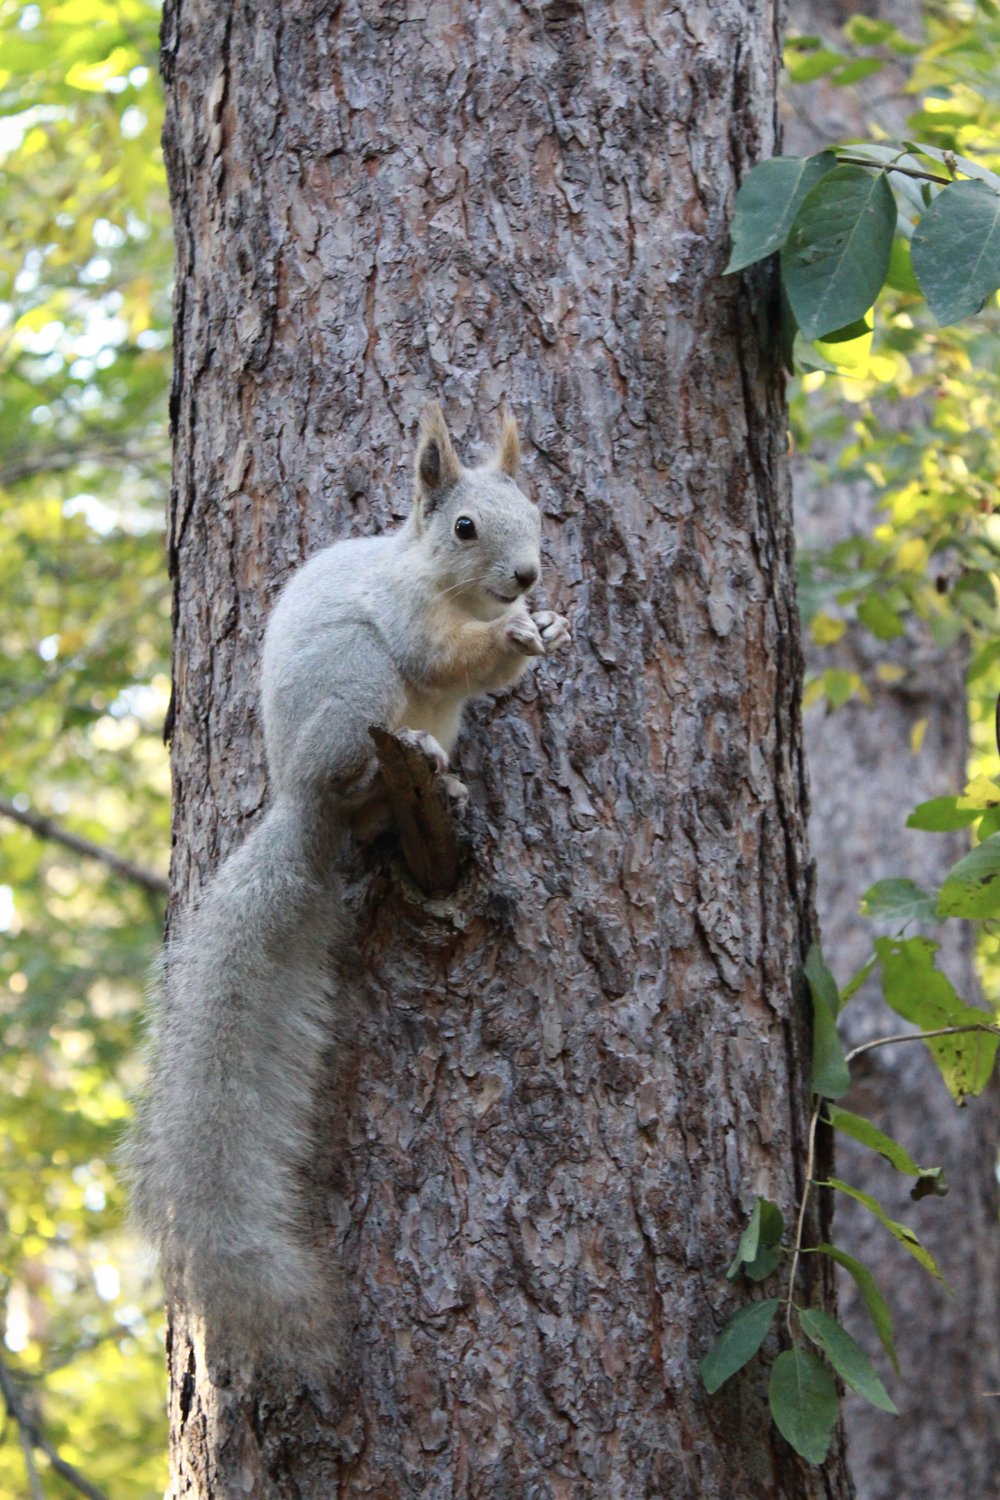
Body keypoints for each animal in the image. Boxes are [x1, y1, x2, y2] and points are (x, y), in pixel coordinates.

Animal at [127, 405, 569, 1368]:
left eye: (535, 513)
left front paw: (544, 627)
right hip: (356, 686)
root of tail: (300, 802)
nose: (527, 575)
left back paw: (445, 781)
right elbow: (442, 654)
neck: (442, 582)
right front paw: (511, 635)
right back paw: (402, 767)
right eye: (465, 526)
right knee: (364, 765)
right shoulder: (405, 621)